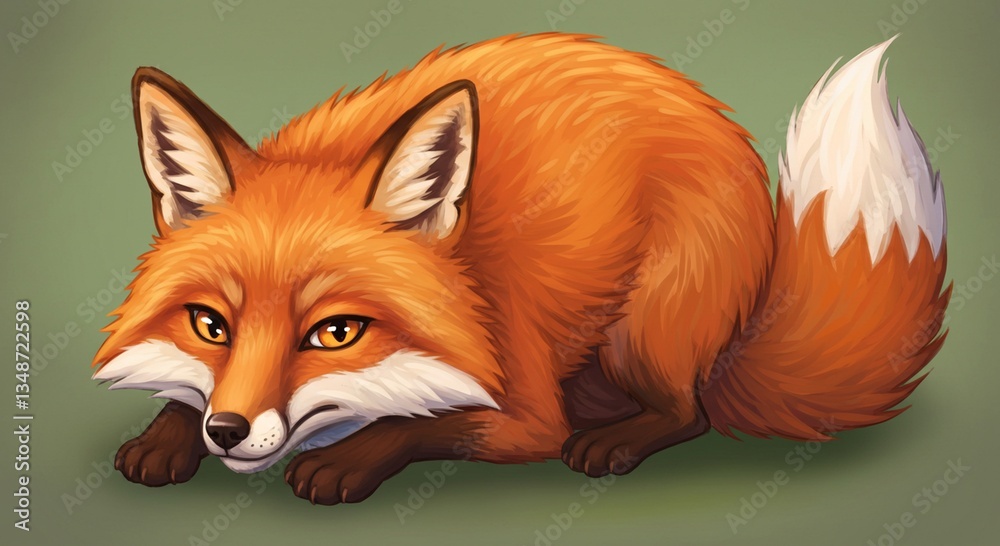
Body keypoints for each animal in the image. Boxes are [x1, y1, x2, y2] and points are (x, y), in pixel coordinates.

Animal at [92, 33, 948, 505]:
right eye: (211, 325)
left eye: (336, 334)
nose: (229, 431)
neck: (473, 279)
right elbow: (183, 393)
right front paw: (167, 434)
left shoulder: (527, 410)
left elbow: (420, 424)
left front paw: (342, 459)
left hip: (642, 333)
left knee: (690, 411)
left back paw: (615, 442)